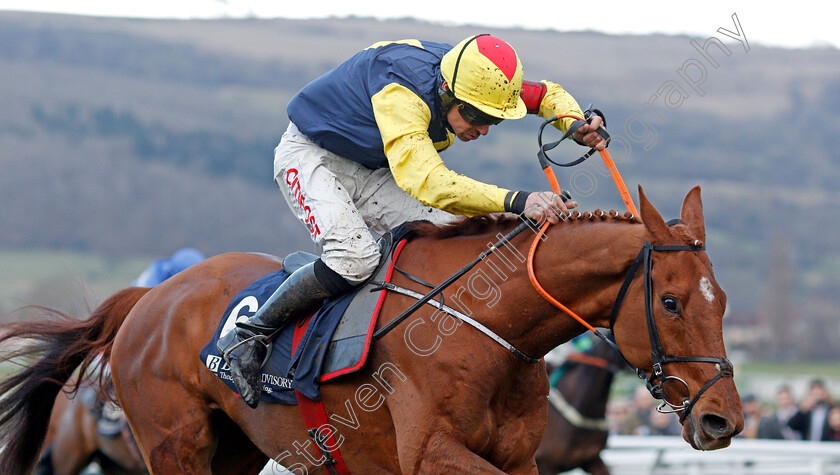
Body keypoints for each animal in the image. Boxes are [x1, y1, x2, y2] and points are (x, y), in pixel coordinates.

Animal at [3, 187, 744, 475]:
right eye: (671, 302)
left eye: (723, 303)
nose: (723, 419)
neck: (488, 326)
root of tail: (149, 298)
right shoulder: (429, 453)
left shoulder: (521, 456)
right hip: (171, 442)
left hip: (234, 448)